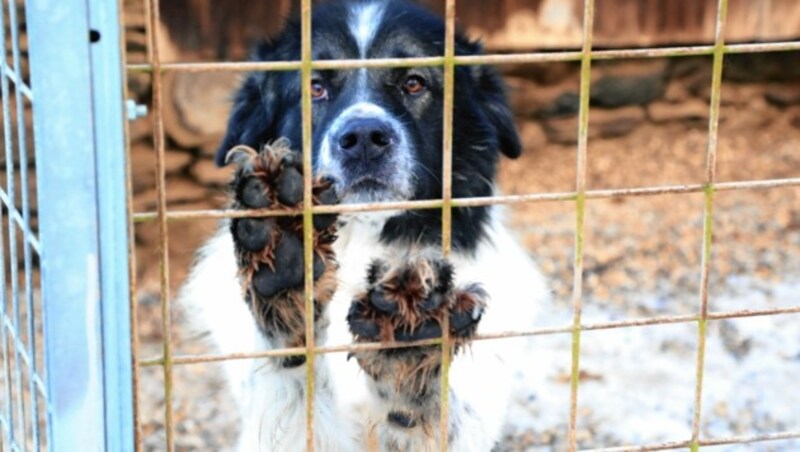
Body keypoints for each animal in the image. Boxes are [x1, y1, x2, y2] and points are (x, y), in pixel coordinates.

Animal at [178, 1, 548, 450]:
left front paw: (409, 350)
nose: (365, 137)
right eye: (315, 87)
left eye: (413, 83)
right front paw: (286, 267)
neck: (363, 246)